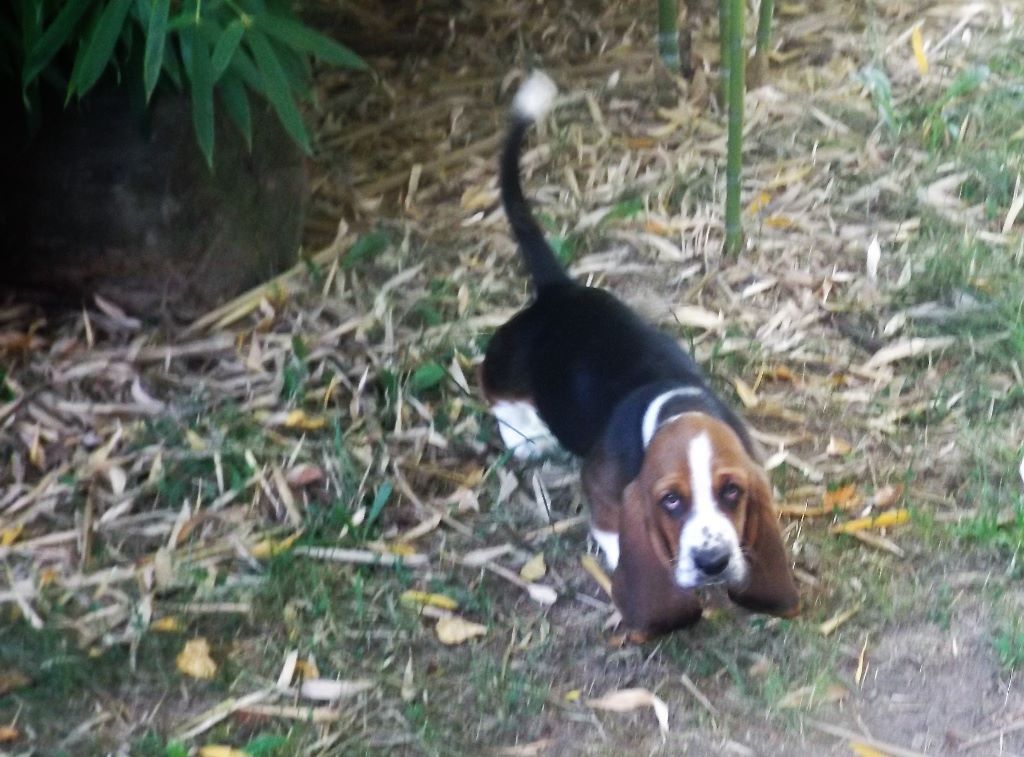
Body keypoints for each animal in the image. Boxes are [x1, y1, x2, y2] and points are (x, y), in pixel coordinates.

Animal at [478, 72, 799, 637]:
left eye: (732, 492)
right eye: (670, 500)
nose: (713, 562)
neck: (673, 406)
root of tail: (560, 292)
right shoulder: (605, 490)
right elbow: (612, 529)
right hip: (506, 357)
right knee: (492, 386)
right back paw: (525, 438)